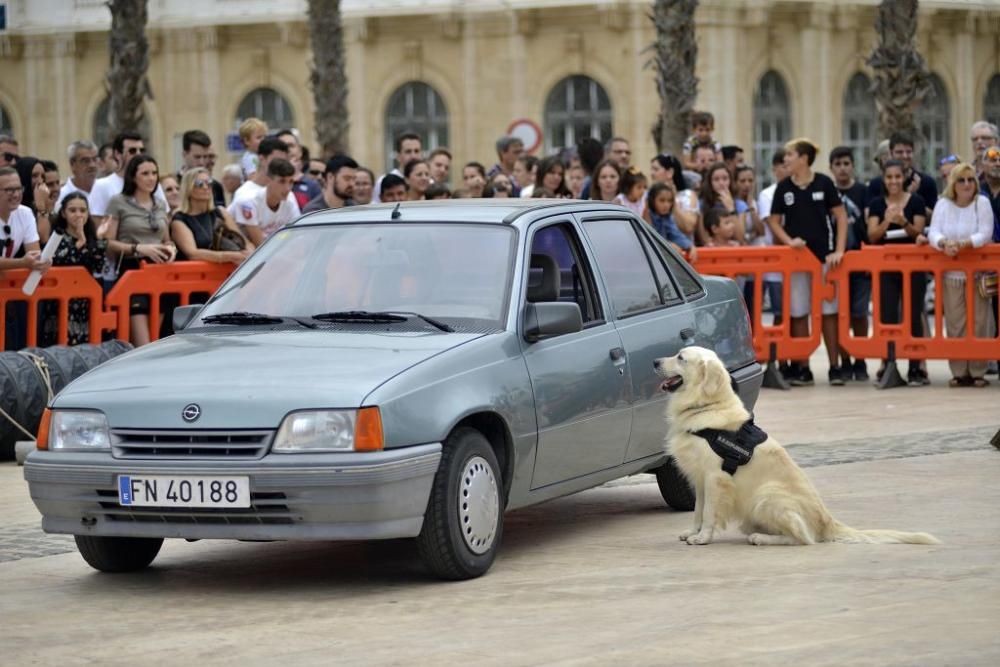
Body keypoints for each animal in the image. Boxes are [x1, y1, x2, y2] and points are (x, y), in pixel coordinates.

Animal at [652, 348, 940, 544]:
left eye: (681, 357)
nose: (654, 361)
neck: (707, 406)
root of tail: (827, 522)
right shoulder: (700, 479)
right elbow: (698, 511)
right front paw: (692, 532)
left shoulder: (716, 477)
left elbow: (710, 512)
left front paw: (703, 538)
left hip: (766, 496)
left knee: (803, 538)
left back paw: (762, 538)